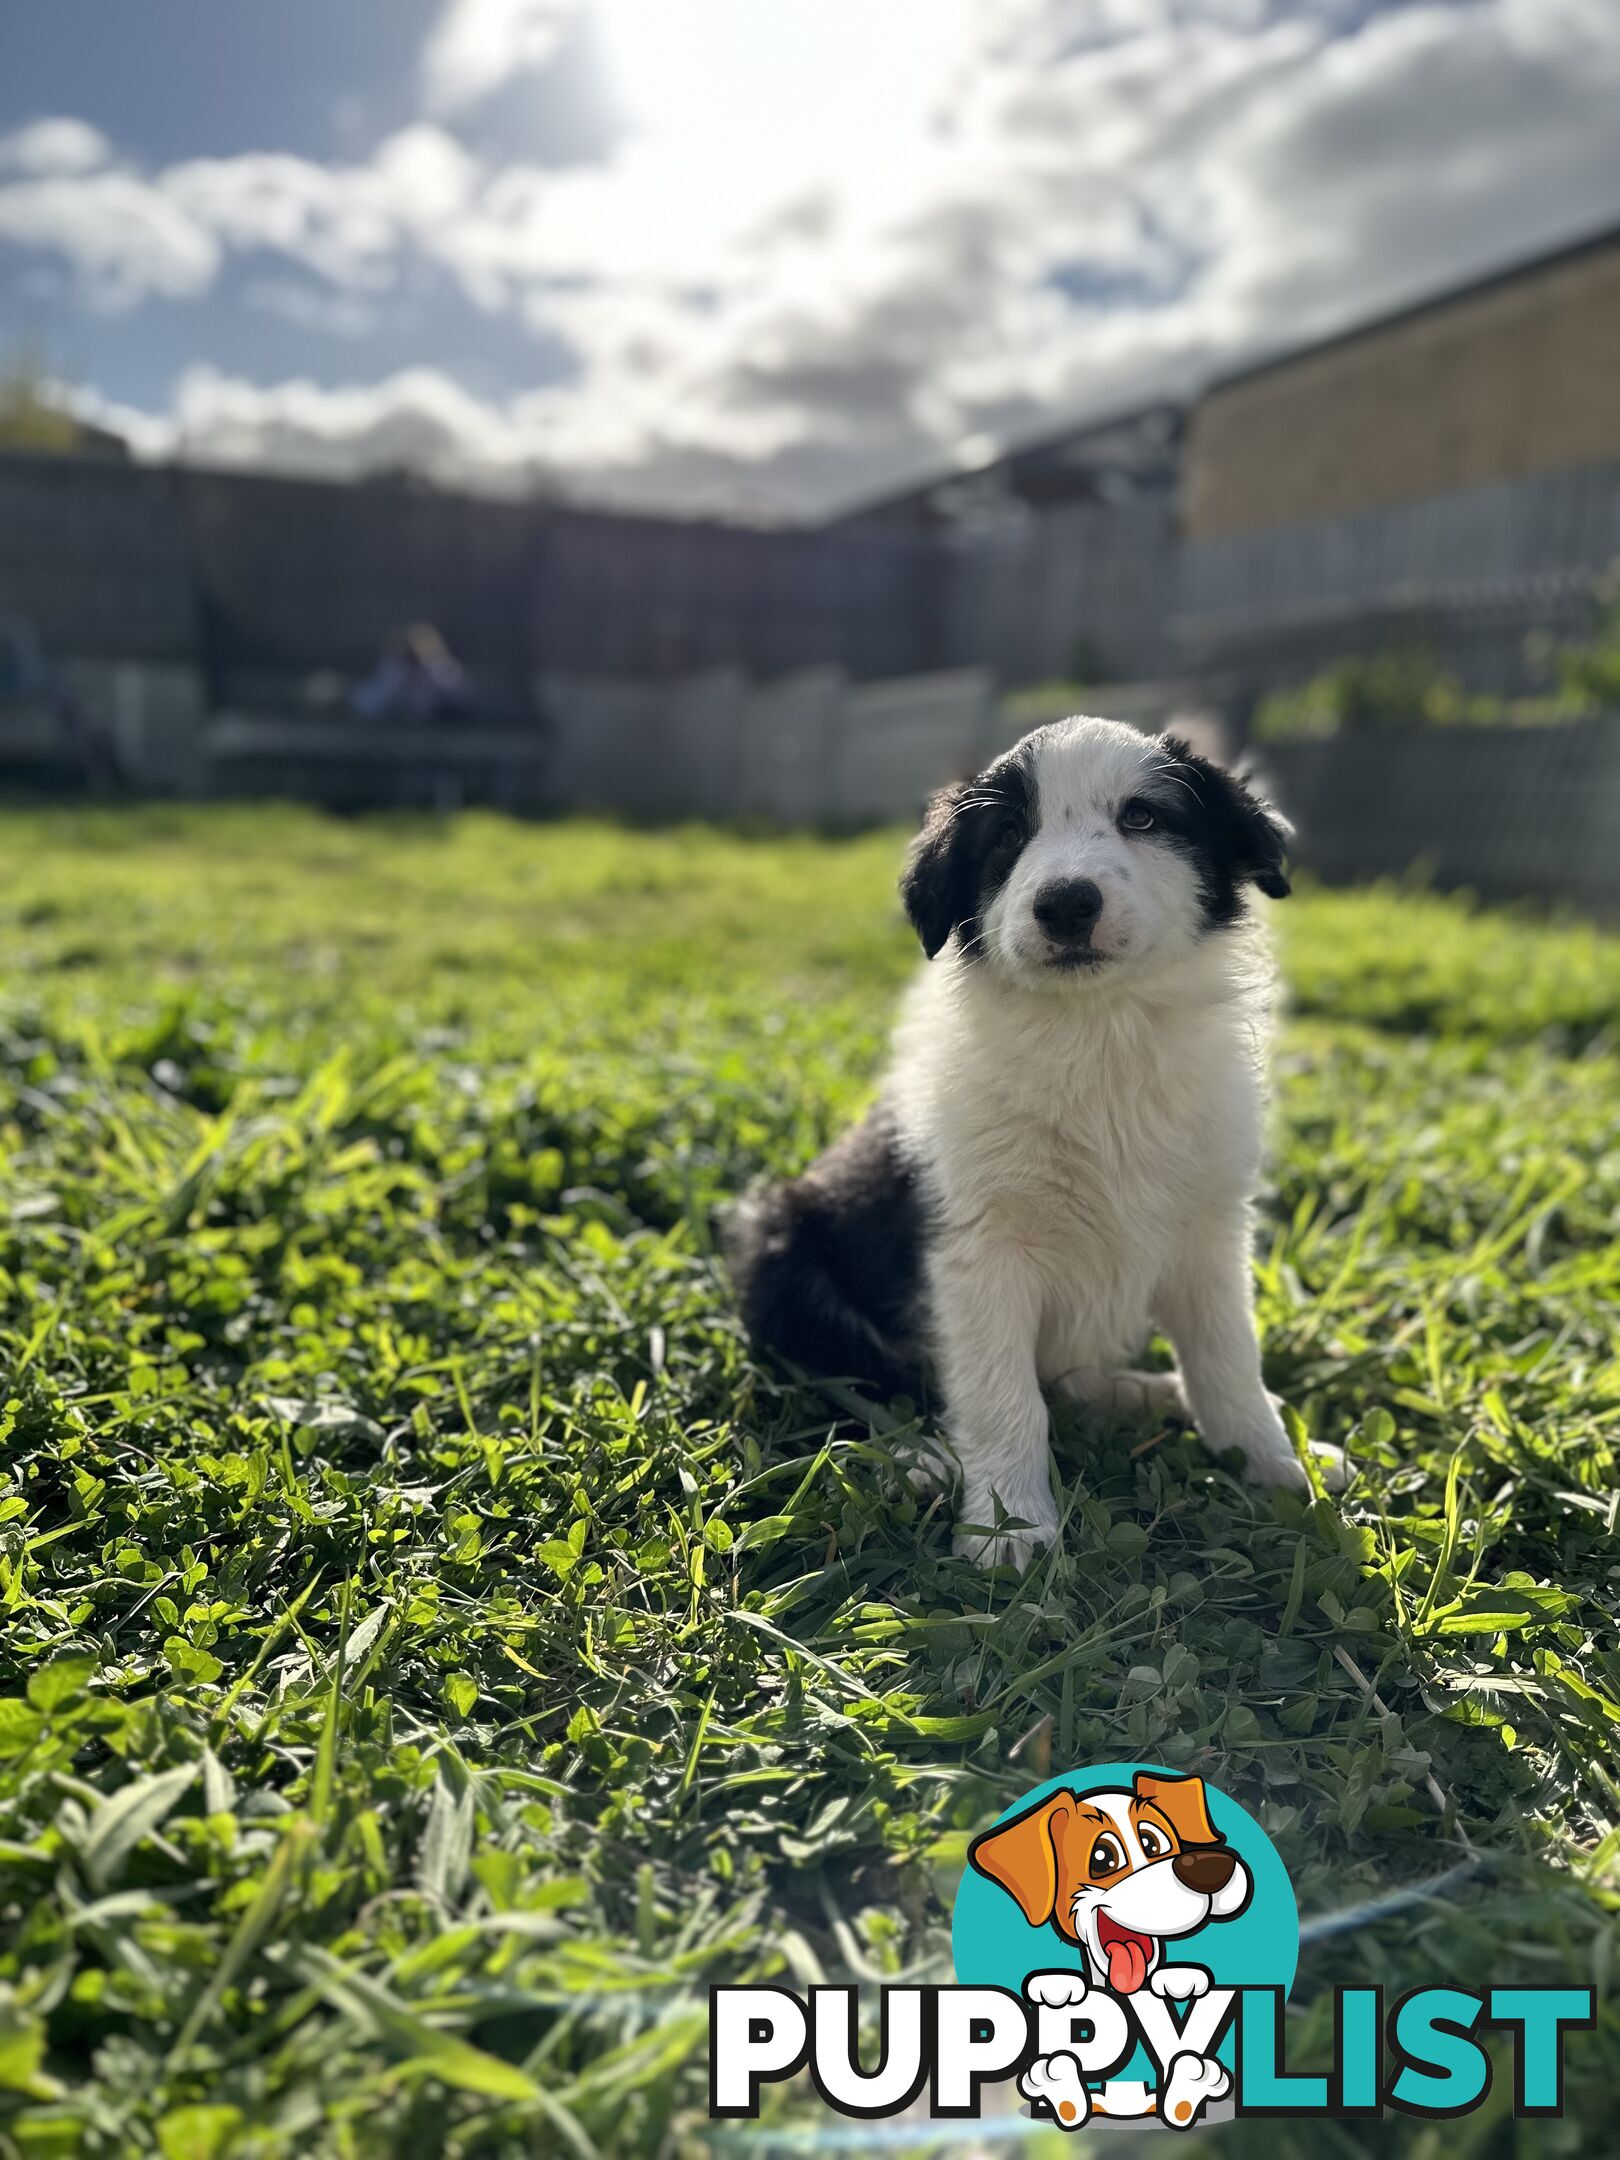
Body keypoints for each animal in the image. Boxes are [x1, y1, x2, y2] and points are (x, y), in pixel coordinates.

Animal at [730, 717, 1347, 1563]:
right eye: (1009, 837)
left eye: (1142, 818)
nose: (1065, 904)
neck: (1096, 1034)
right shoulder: (978, 1247)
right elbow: (1002, 1394)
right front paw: (1008, 1526)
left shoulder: (1210, 1229)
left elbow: (1228, 1357)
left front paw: (1275, 1463)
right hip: (782, 1249)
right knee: (862, 1381)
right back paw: (922, 1458)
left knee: (1068, 1379)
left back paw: (1150, 1395)